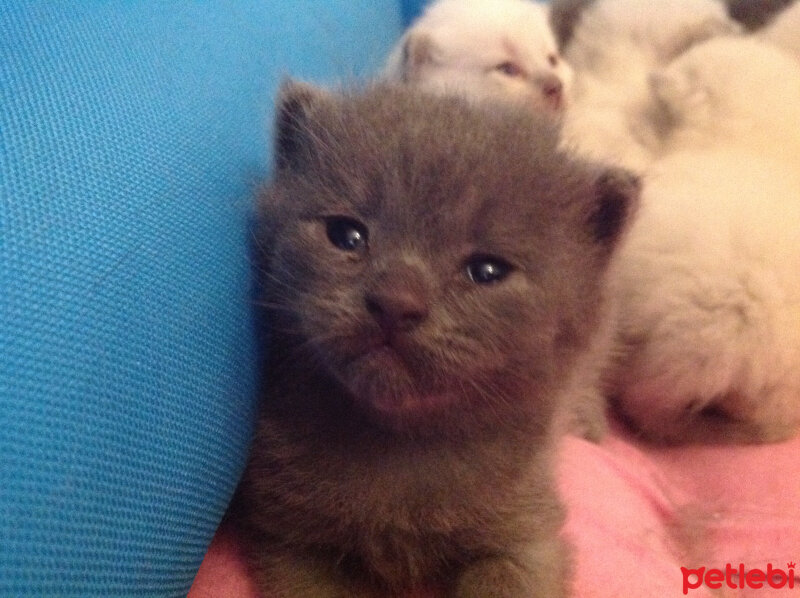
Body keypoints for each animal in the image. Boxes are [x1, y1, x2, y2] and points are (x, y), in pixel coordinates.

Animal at [236, 82, 636, 596]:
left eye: (487, 270)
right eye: (346, 234)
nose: (395, 302)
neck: (400, 447)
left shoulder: (525, 534)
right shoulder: (293, 538)